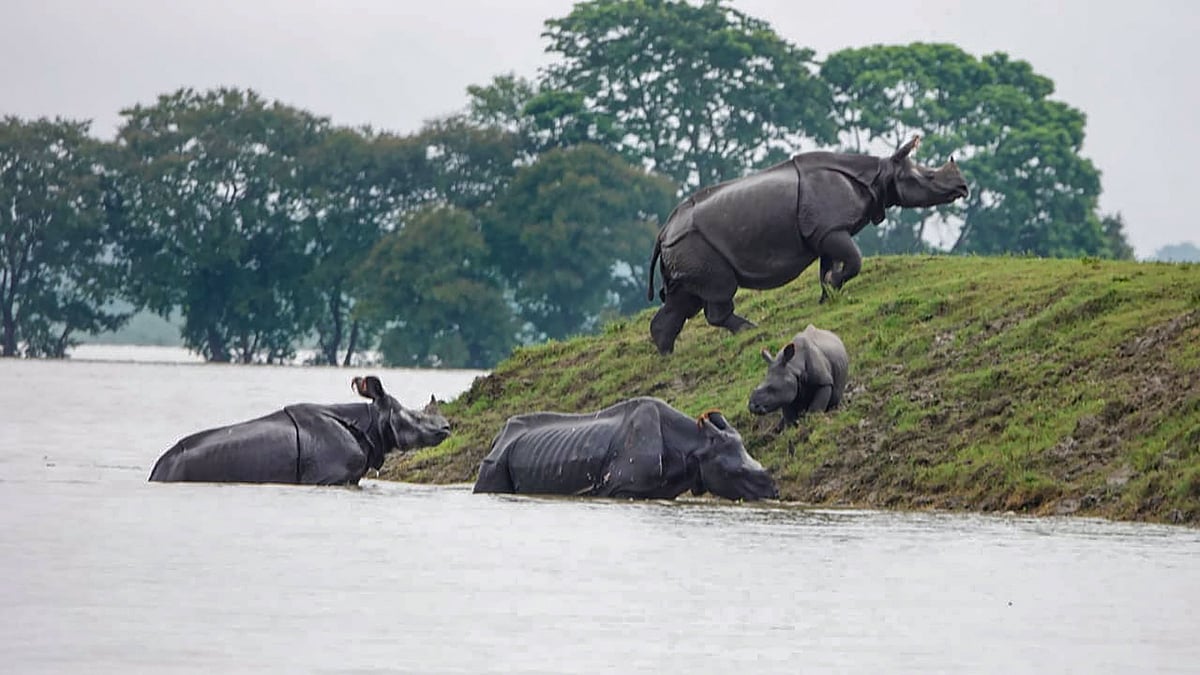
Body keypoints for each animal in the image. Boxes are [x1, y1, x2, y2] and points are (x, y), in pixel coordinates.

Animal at [473, 397, 778, 501]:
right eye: (736, 473)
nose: (774, 494)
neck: (695, 445)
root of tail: (498, 437)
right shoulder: (621, 488)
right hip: (496, 460)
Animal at [646, 135, 968, 354]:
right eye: (929, 176)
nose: (963, 188)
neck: (880, 174)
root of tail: (662, 233)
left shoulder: (825, 233)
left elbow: (829, 268)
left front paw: (829, 296)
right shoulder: (830, 229)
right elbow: (854, 260)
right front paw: (835, 286)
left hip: (684, 248)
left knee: (685, 297)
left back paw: (667, 354)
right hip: (694, 244)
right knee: (718, 288)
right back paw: (751, 330)